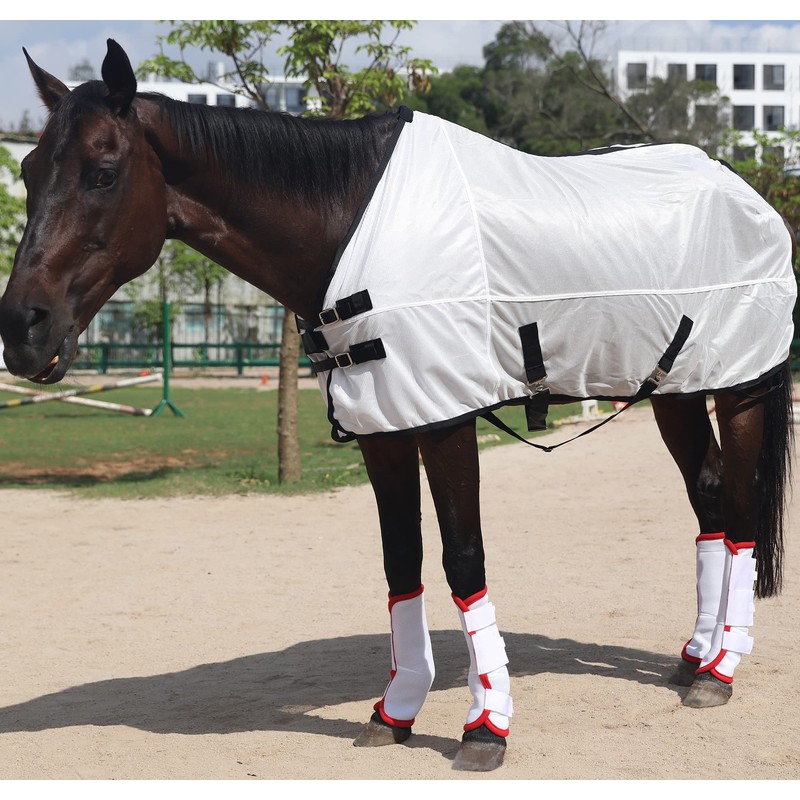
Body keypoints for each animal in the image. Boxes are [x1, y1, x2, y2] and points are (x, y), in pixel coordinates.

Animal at [0, 39, 796, 773]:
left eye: (103, 172)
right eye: (29, 171)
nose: (21, 328)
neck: (349, 220)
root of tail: (748, 196)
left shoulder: (443, 421)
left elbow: (463, 559)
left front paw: (486, 726)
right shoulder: (383, 424)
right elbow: (400, 560)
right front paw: (397, 709)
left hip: (742, 388)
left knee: (741, 508)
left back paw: (722, 668)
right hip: (675, 394)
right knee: (710, 500)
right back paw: (694, 656)